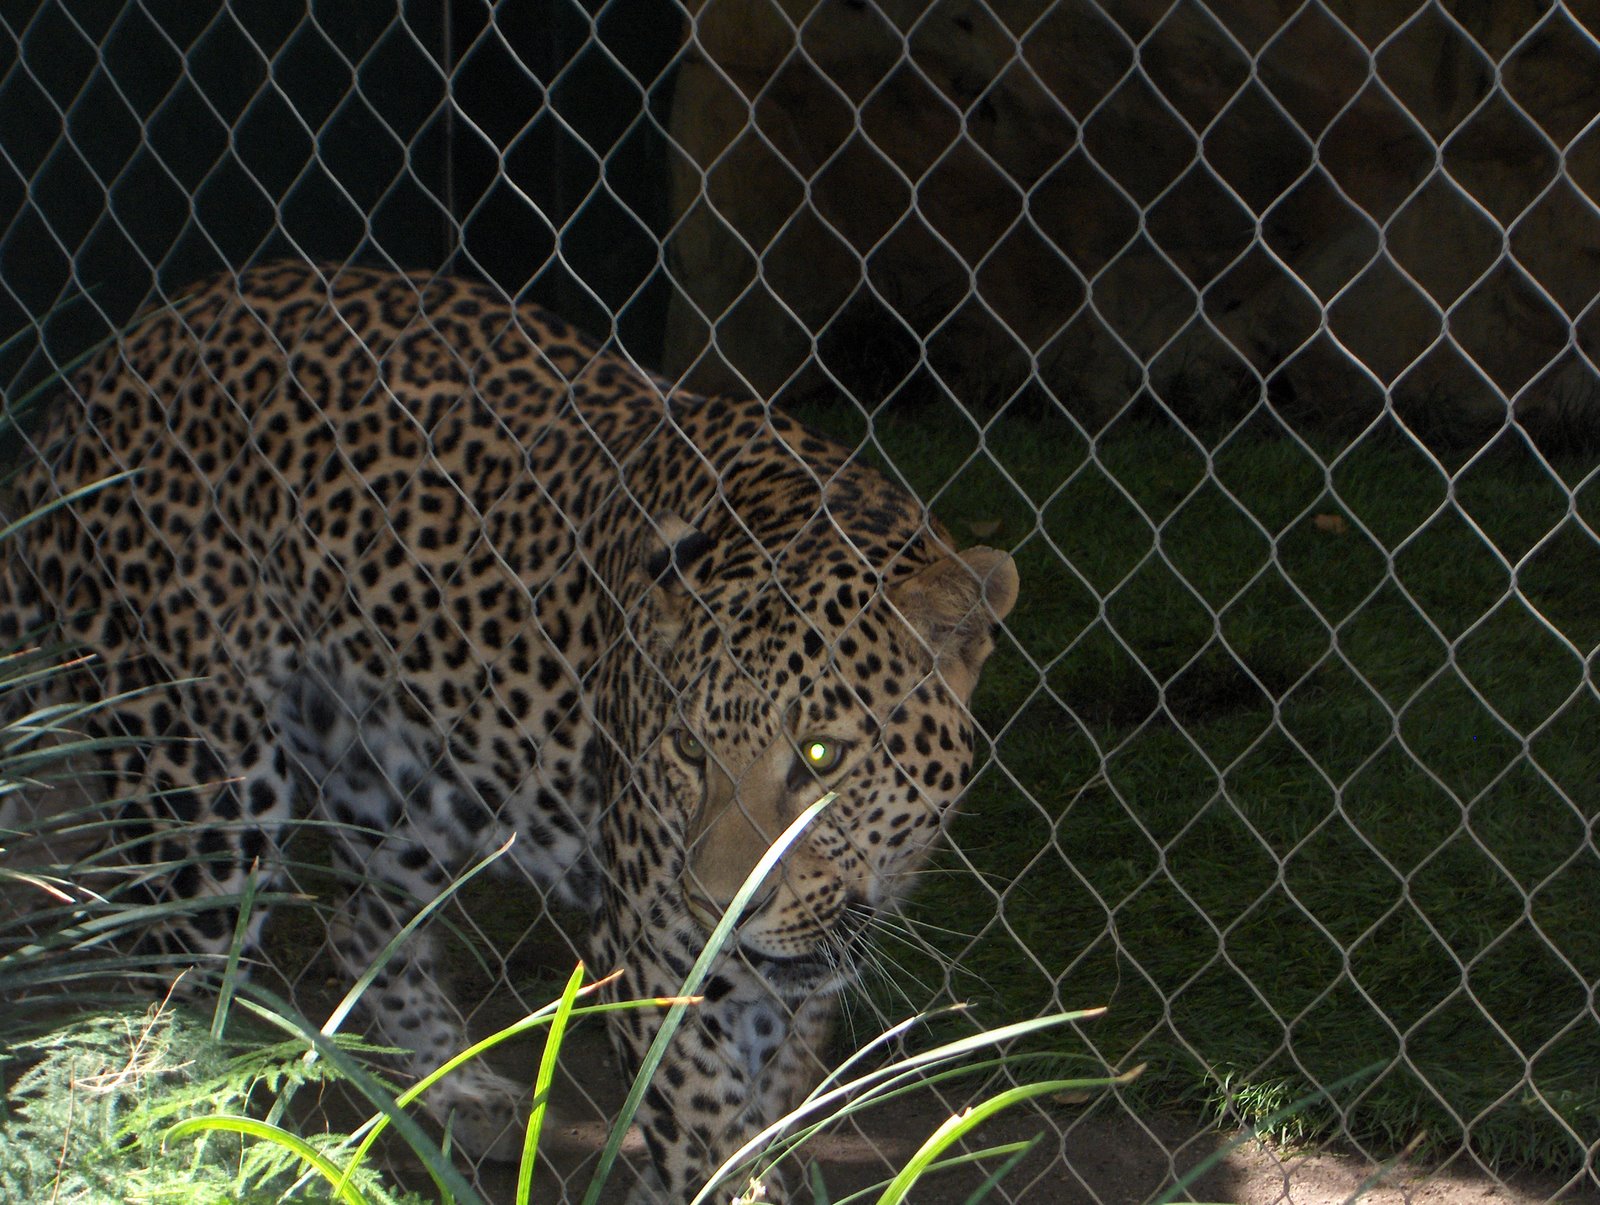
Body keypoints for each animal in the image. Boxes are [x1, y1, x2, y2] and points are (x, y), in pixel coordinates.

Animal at [0, 262, 1018, 1201]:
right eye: (689, 752)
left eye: (821, 756)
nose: (720, 905)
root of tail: (95, 376)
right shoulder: (654, 943)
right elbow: (700, 1121)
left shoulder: (800, 970)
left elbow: (774, 1097)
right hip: (200, 771)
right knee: (167, 992)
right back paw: (200, 1149)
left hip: (413, 775)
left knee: (361, 922)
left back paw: (459, 1096)